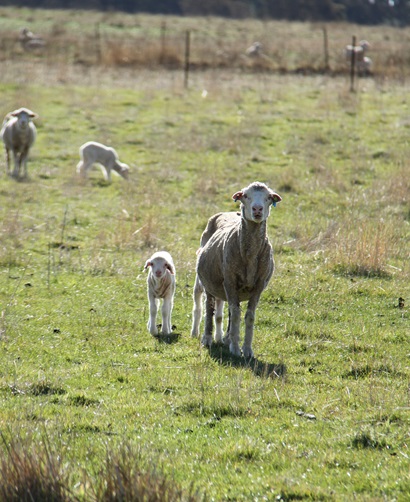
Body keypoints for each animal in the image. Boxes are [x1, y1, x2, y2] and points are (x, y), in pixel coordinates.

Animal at [191, 180, 282, 356]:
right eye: (245, 196)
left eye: (268, 197)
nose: (257, 209)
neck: (250, 255)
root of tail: (226, 212)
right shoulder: (230, 281)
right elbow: (234, 315)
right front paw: (234, 348)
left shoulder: (258, 286)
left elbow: (248, 316)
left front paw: (246, 349)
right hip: (209, 282)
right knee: (209, 308)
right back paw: (207, 337)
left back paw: (226, 338)